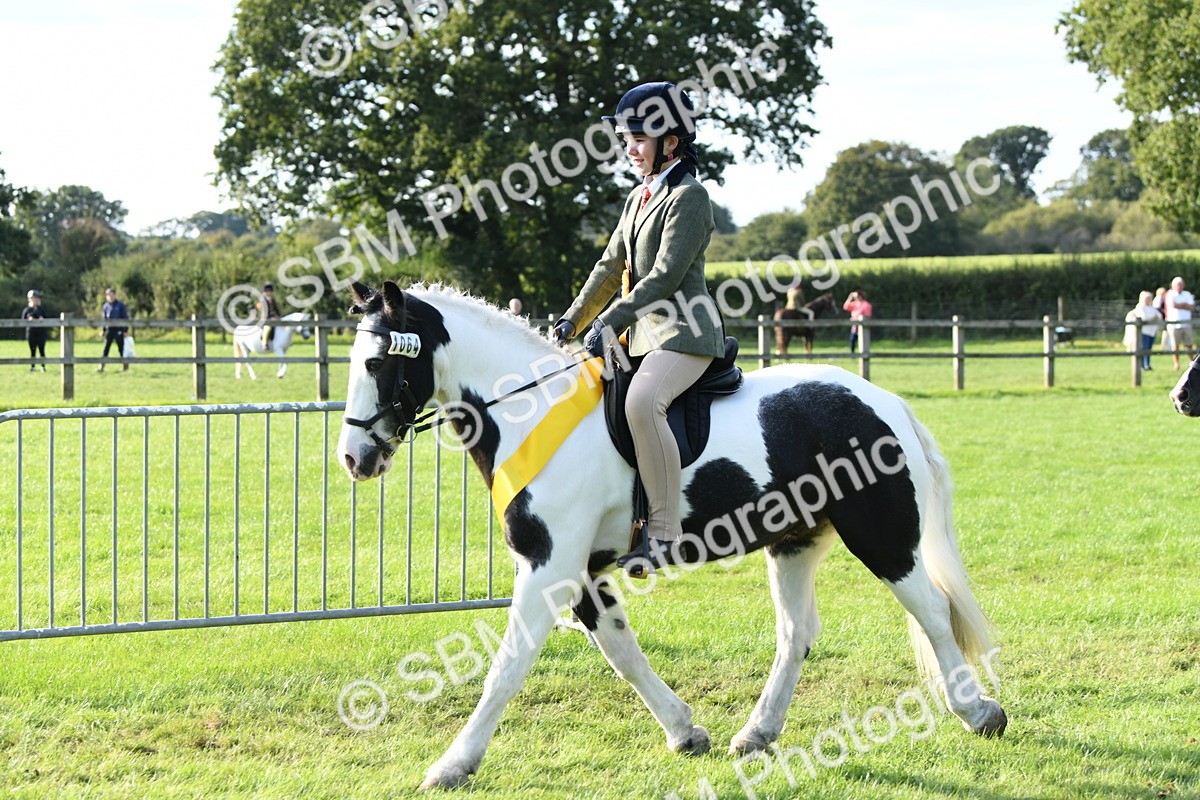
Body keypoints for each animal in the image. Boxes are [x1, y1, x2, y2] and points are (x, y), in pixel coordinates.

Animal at [336, 281, 1007, 790]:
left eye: (375, 362)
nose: (353, 458)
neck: (530, 412)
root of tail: (881, 400)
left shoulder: (549, 566)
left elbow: (507, 665)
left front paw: (452, 765)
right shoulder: (581, 571)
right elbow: (622, 652)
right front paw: (685, 731)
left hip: (882, 537)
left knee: (933, 611)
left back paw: (978, 712)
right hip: (793, 540)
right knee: (798, 634)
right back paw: (756, 734)